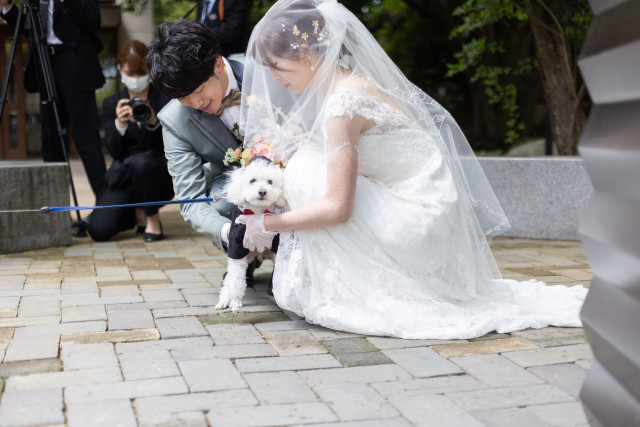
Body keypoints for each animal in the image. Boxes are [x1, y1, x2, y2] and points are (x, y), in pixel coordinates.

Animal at [215, 155, 284, 312]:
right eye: (252, 180)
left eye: (270, 181)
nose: (262, 191)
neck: (257, 213)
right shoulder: (236, 249)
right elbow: (235, 281)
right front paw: (235, 302)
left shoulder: (277, 246)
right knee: (228, 281)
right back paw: (224, 300)